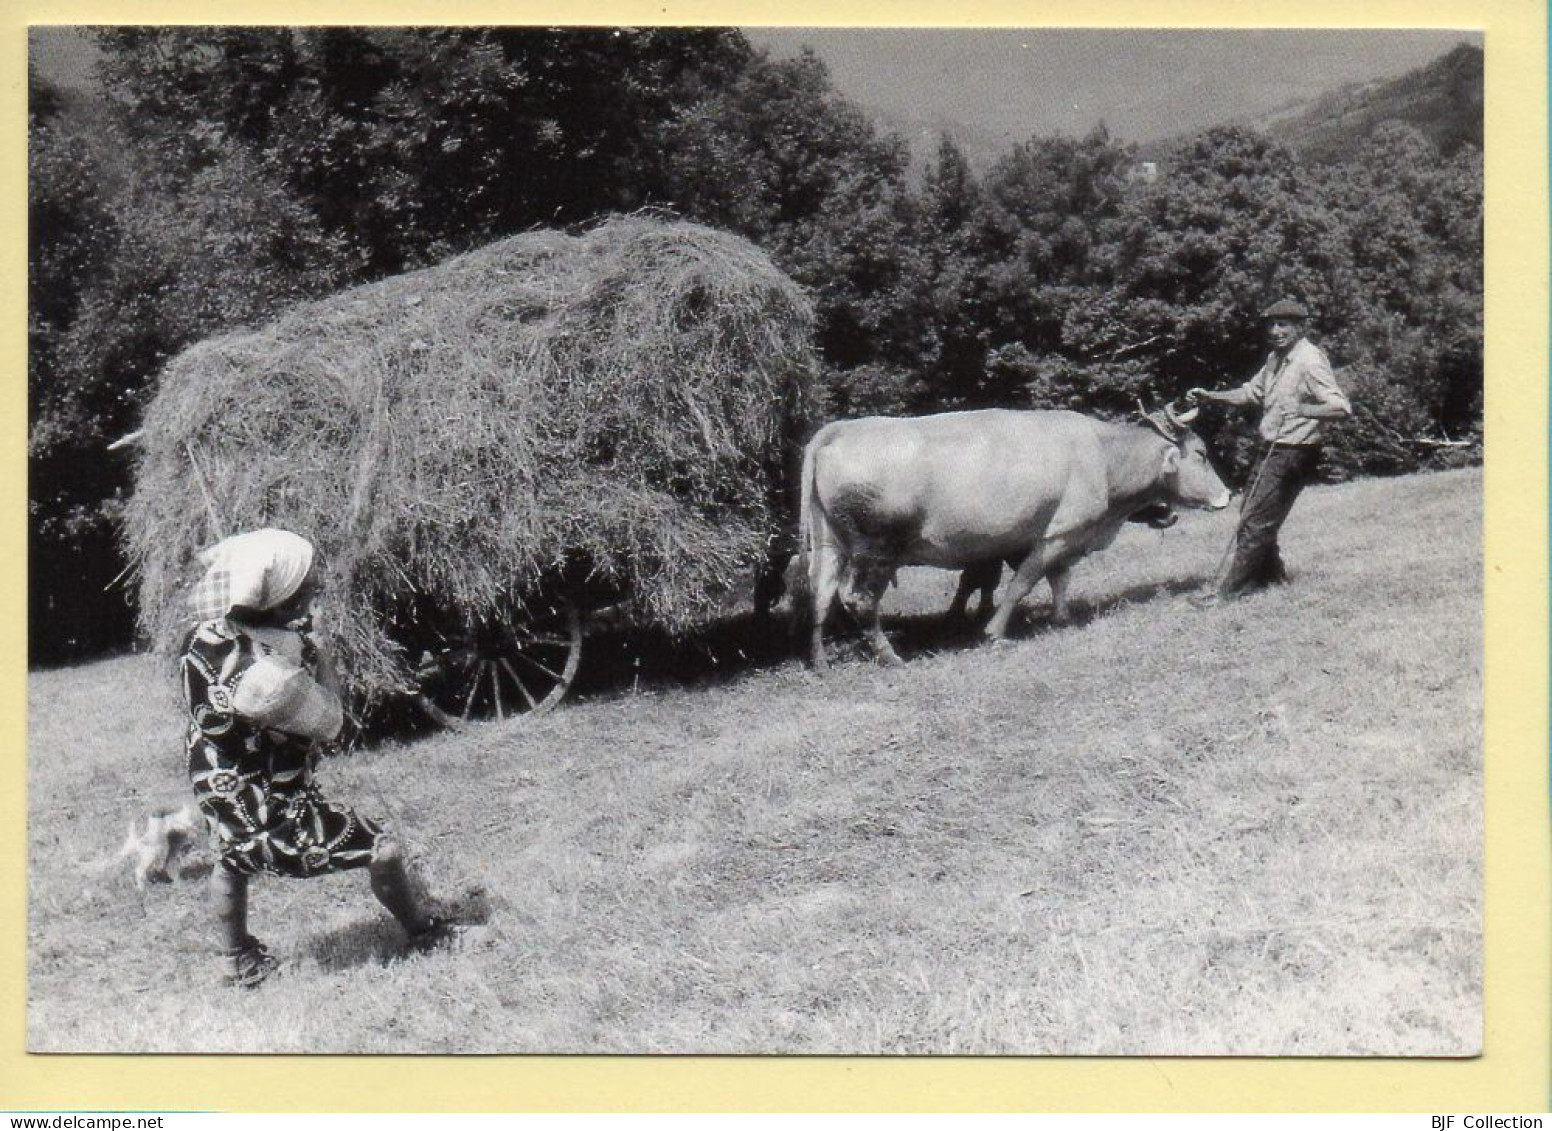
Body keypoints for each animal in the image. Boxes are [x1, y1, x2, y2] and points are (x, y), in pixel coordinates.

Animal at [800, 409, 1222, 667]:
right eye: (1201, 454)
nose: (1227, 495)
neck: (1101, 453)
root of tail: (842, 429)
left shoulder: (1056, 537)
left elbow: (1059, 579)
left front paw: (1061, 618)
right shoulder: (1057, 532)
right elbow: (1025, 581)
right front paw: (995, 632)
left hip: (830, 542)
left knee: (820, 594)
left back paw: (820, 660)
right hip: (877, 548)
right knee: (859, 599)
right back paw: (890, 657)